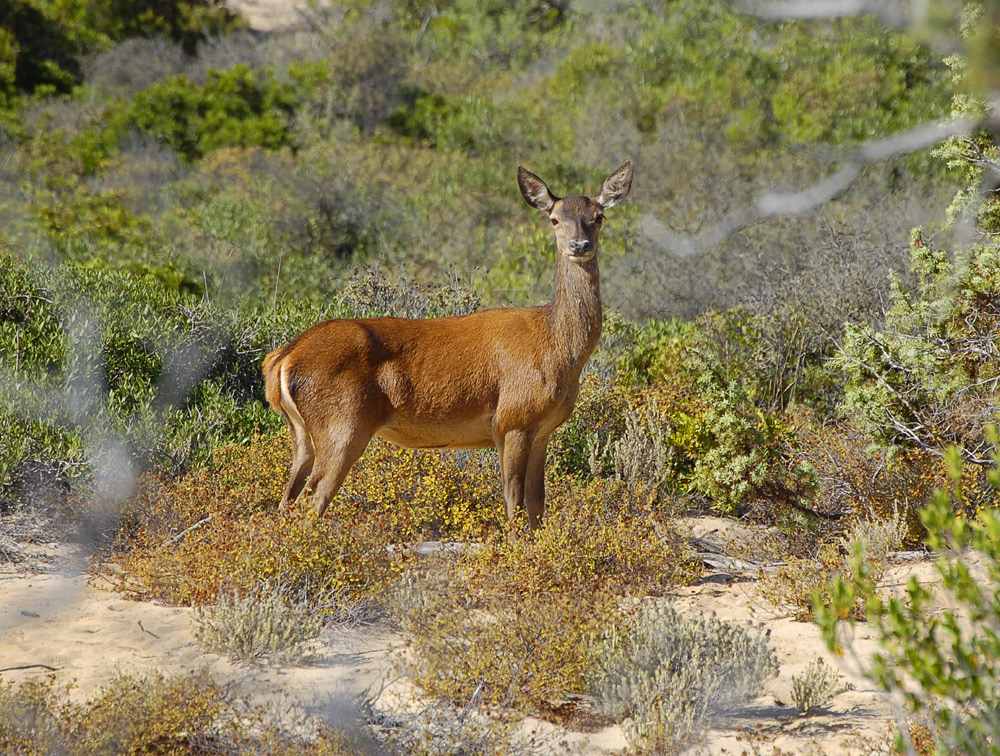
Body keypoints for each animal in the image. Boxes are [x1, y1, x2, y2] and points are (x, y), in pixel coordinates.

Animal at [262, 162, 628, 528]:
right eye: (554, 219)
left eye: (598, 216)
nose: (579, 245)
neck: (557, 347)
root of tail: (283, 359)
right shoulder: (512, 420)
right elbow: (514, 504)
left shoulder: (542, 431)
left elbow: (537, 505)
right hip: (343, 425)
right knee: (310, 503)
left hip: (303, 433)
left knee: (286, 501)